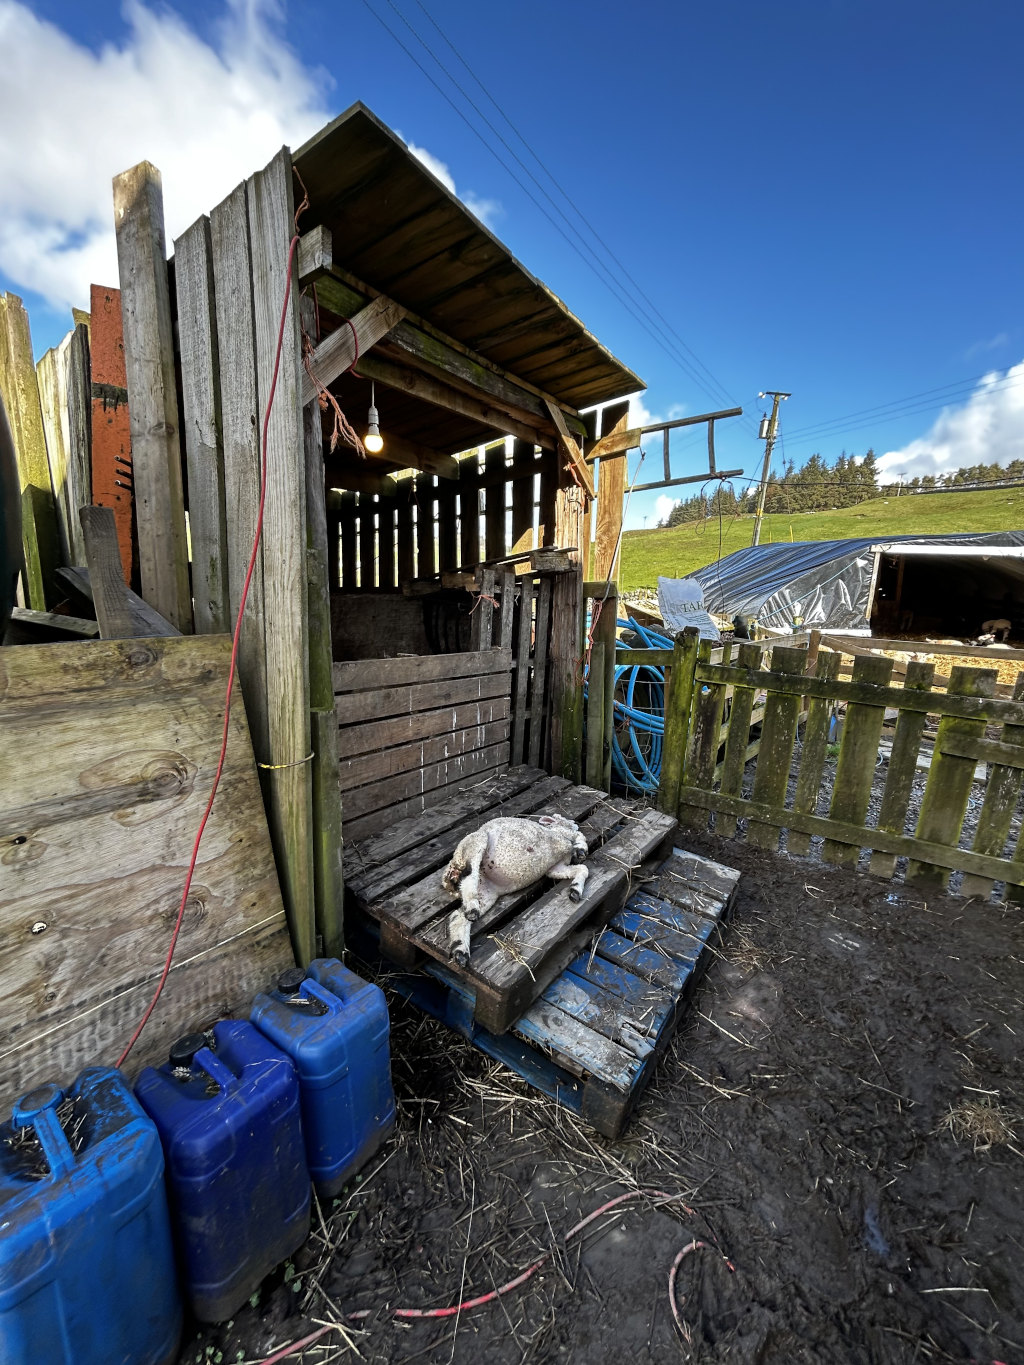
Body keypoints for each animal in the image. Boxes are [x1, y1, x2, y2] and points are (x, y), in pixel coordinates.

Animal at [441, 814, 589, 966]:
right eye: (565, 819)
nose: (575, 822)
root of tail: (448, 879)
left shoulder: (555, 868)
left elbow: (582, 868)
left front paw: (575, 890)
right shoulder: (558, 838)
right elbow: (576, 838)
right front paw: (580, 849)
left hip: (486, 891)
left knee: (458, 915)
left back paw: (460, 950)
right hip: (476, 841)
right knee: (468, 871)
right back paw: (470, 906)